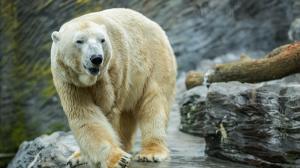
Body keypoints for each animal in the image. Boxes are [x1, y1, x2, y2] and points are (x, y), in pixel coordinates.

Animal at [50, 8, 177, 168]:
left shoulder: (113, 71)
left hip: (155, 60)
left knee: (154, 102)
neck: (88, 80)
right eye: (79, 41)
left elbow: (107, 111)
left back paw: (151, 152)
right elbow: (84, 114)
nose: (96, 58)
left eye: (102, 40)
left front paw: (118, 159)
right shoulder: (69, 81)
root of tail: (155, 25)